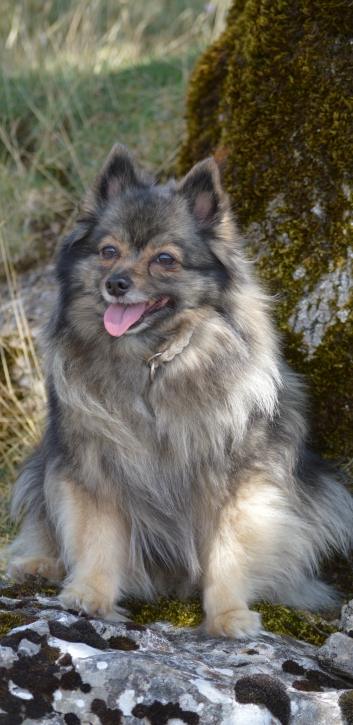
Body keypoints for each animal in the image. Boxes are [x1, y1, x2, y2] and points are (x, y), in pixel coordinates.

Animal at [7, 144, 352, 636]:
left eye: (165, 259)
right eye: (108, 251)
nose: (116, 284)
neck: (153, 363)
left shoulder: (236, 483)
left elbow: (228, 552)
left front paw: (228, 615)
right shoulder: (96, 466)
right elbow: (96, 536)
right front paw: (89, 594)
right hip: (42, 465)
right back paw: (41, 565)